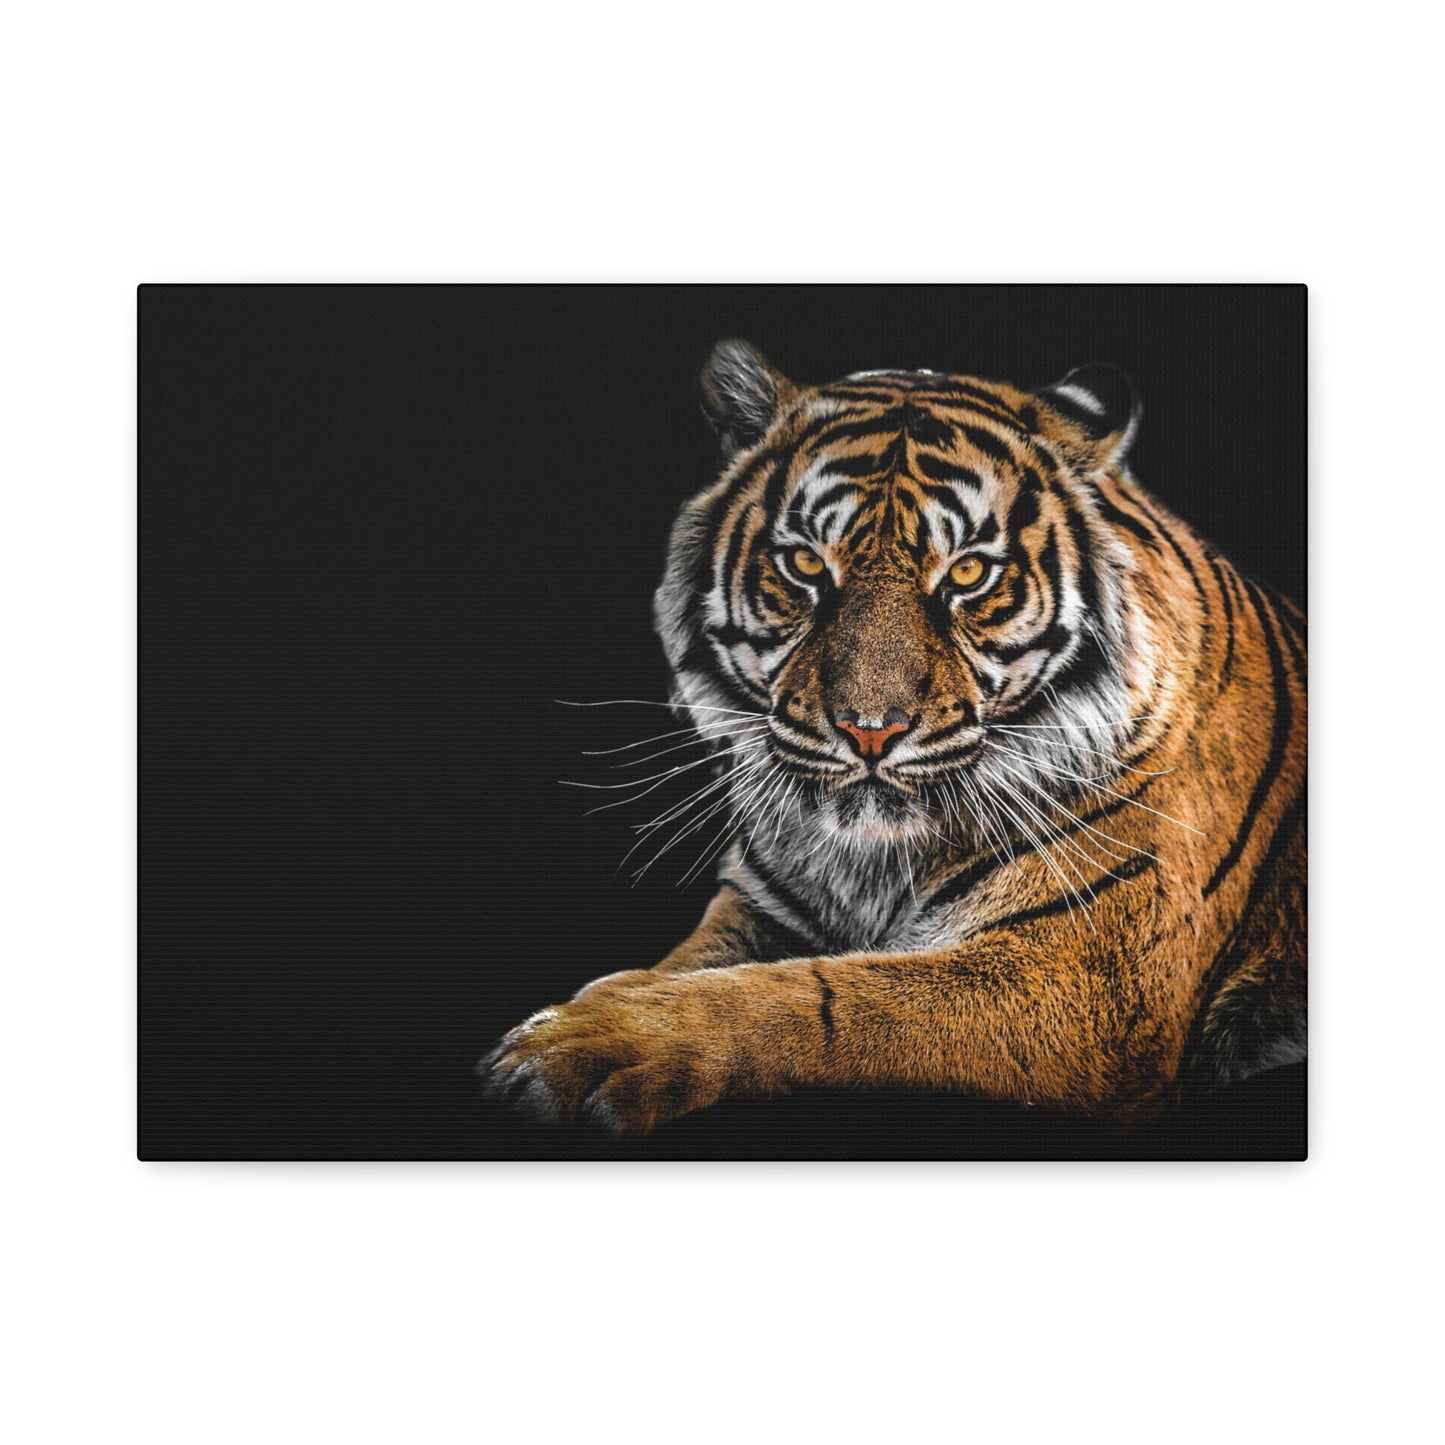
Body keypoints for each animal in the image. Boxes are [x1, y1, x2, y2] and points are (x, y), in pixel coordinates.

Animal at [480, 339, 1307, 1136]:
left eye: (968, 573)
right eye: (804, 563)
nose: (868, 730)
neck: (872, 863)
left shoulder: (1087, 978)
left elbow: (824, 995)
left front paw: (587, 1041)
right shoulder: (759, 907)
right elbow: (686, 964)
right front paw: (587, 1008)